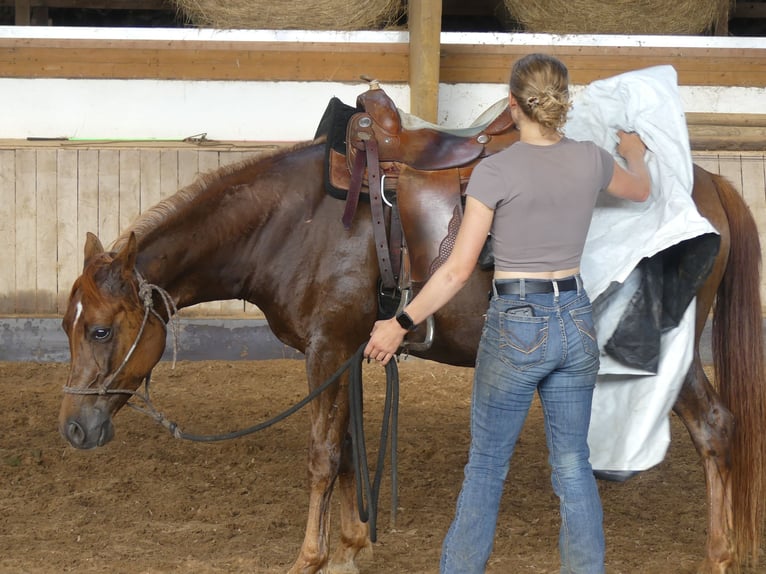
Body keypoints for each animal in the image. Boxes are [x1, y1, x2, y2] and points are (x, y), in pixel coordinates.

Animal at [57, 141, 764, 574]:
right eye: (69, 326)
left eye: (101, 330)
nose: (74, 428)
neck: (295, 225)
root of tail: (710, 184)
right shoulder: (344, 354)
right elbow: (346, 449)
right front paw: (349, 547)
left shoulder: (327, 350)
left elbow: (322, 455)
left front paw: (310, 556)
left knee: (715, 428)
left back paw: (719, 554)